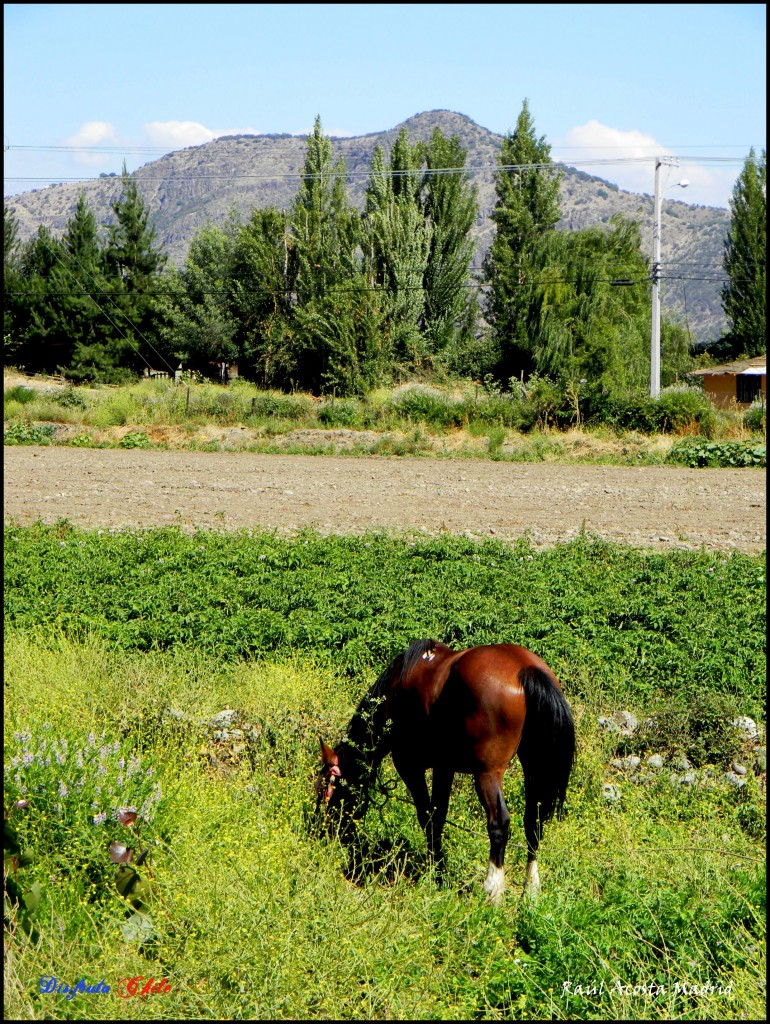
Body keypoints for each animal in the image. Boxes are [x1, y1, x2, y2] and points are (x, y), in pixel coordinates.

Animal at [315, 638, 573, 905]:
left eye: (325, 790)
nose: (322, 831)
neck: (396, 691)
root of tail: (524, 668)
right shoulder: (444, 768)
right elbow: (438, 816)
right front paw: (439, 870)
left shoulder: (410, 766)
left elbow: (427, 817)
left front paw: (436, 871)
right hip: (533, 768)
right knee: (534, 822)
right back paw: (531, 889)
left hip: (487, 774)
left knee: (499, 822)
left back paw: (493, 890)